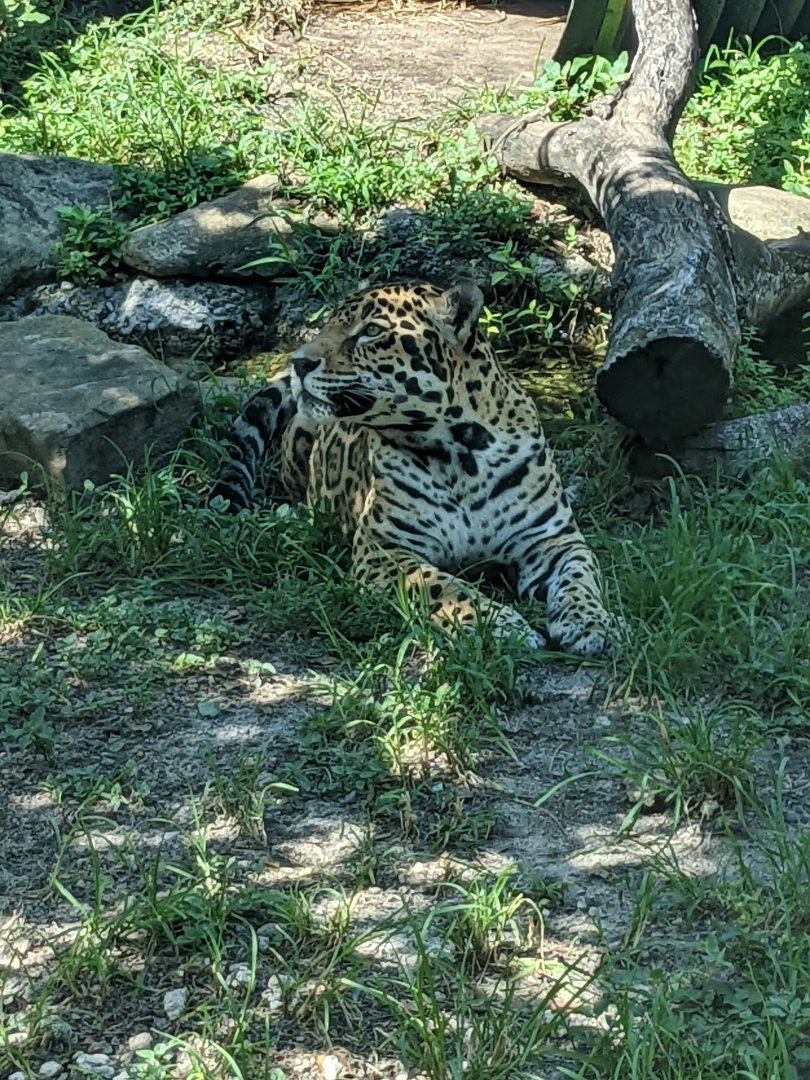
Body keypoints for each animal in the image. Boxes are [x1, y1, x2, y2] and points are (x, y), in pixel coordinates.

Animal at [209, 280, 615, 656]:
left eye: (371, 331)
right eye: (328, 326)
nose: (298, 362)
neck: (462, 454)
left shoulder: (552, 538)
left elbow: (580, 576)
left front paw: (591, 624)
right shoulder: (385, 549)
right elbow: (446, 586)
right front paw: (503, 627)